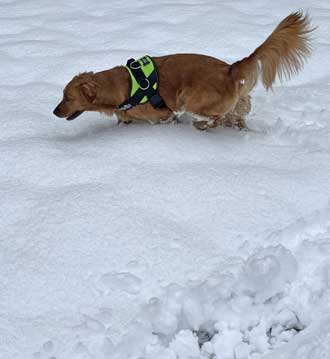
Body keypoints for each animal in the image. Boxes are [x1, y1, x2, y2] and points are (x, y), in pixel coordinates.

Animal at [53, 12, 314, 131]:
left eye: (67, 97)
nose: (54, 111)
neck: (121, 88)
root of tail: (230, 69)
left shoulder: (163, 115)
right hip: (236, 104)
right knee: (234, 119)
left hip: (190, 98)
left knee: (217, 119)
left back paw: (201, 127)